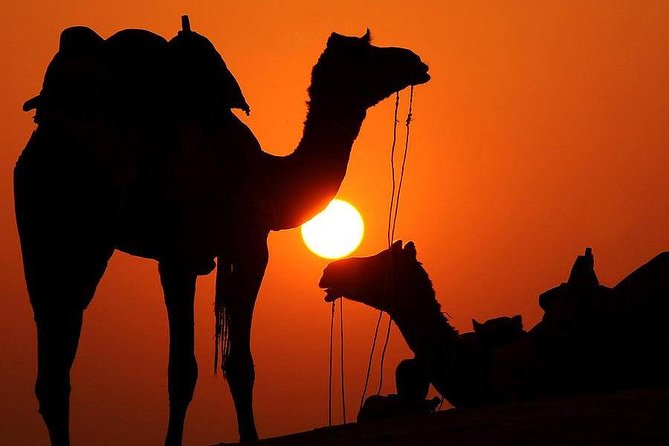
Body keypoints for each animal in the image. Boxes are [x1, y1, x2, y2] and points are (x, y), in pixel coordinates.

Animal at [14, 19, 430, 446]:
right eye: (367, 52)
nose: (415, 61)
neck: (270, 180)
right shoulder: (232, 250)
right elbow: (217, 367)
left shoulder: (195, 256)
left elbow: (204, 367)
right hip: (86, 236)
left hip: (46, 233)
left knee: (54, 356)